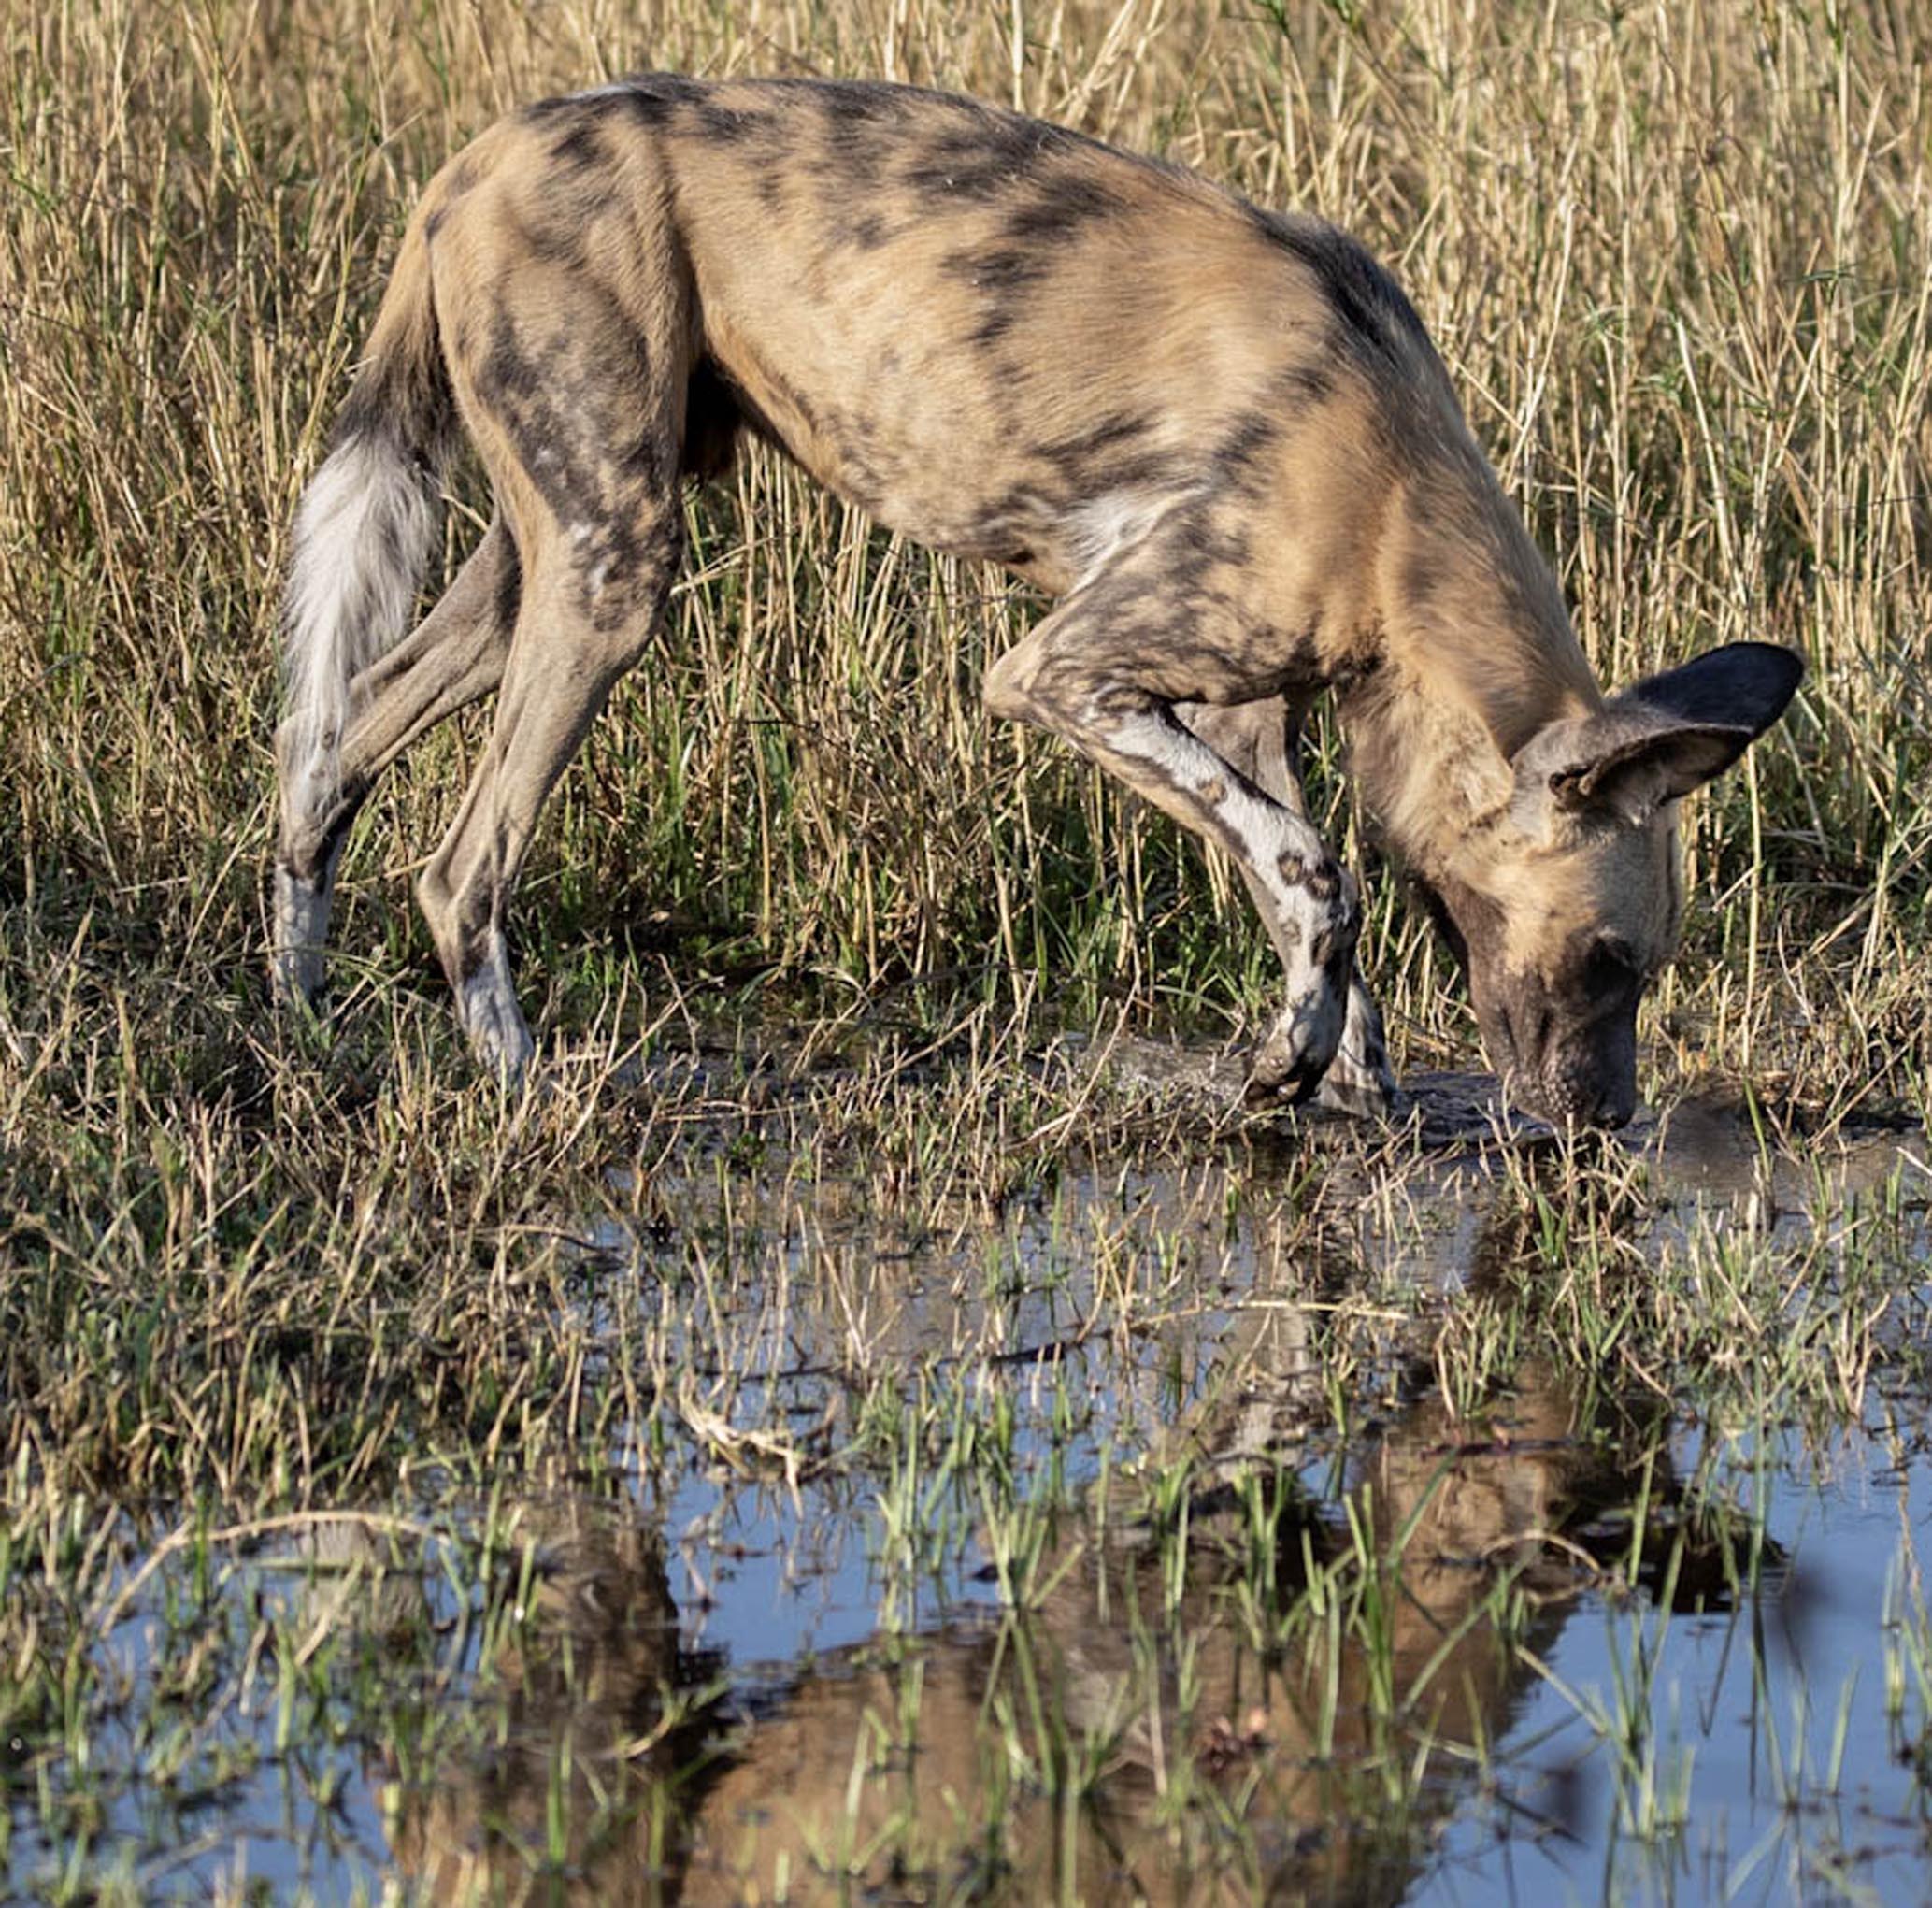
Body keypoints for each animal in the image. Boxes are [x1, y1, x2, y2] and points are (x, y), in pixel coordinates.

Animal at [276, 74, 1808, 1128]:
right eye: (1606, 958)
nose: (1605, 1124)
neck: (1391, 511)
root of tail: (478, 157)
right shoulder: (1067, 675)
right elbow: (1319, 875)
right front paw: (1284, 1073)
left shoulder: (1238, 716)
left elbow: (1312, 900)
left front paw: (1336, 1085)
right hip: (612, 574)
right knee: (459, 866)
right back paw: (517, 1082)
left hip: (550, 557)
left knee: (337, 734)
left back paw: (303, 1006)